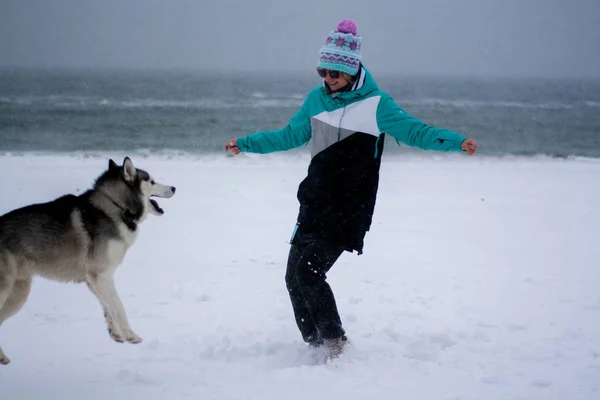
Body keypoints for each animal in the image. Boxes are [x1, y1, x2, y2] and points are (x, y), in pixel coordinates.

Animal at [0, 158, 176, 364]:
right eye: (152, 181)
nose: (174, 188)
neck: (116, 206)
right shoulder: (101, 275)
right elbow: (119, 306)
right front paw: (131, 335)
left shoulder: (95, 279)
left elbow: (108, 306)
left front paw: (116, 334)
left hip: (19, 292)